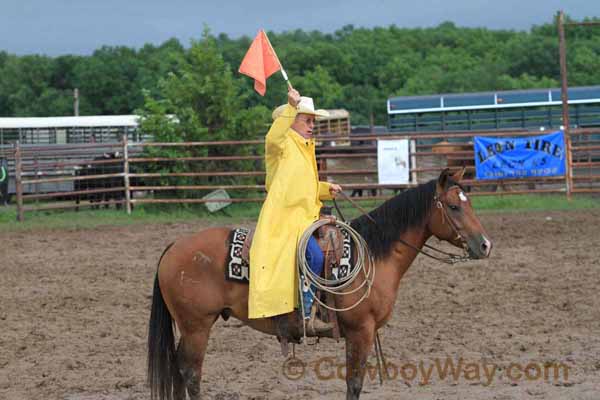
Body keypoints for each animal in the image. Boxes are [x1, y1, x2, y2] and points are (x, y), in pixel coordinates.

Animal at [146, 167, 492, 398]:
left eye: (470, 203)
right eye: (454, 206)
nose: (485, 245)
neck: (372, 256)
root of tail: (174, 246)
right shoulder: (361, 331)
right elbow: (354, 383)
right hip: (197, 326)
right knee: (190, 373)